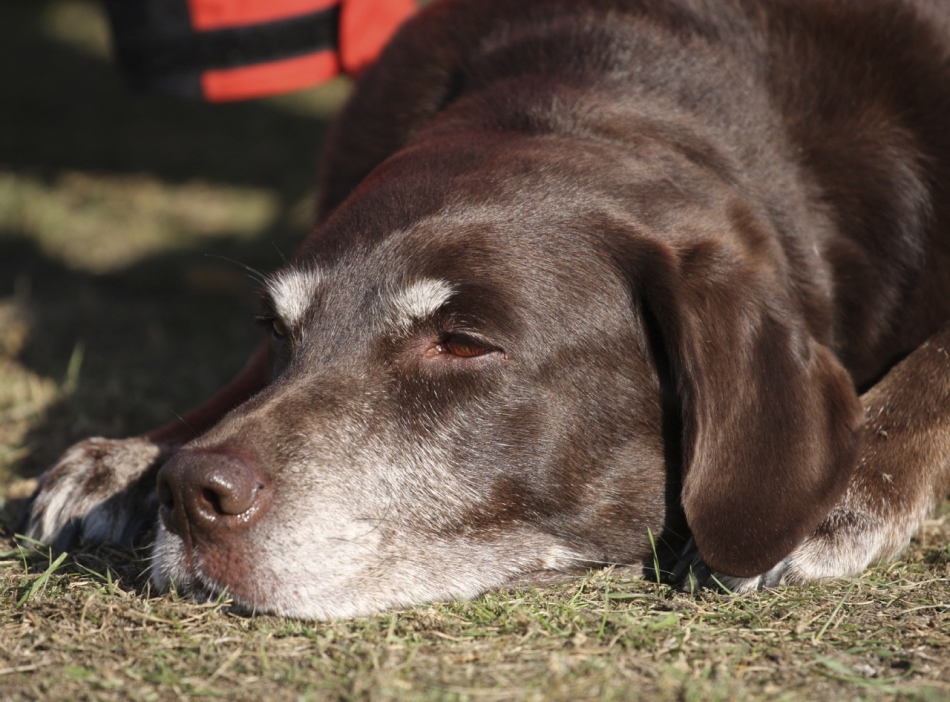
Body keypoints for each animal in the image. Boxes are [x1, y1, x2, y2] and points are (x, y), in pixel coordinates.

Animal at [18, 0, 950, 620]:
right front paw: (132, 458)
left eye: (463, 343)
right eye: (276, 331)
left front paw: (849, 487)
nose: (187, 493)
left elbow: (936, 363)